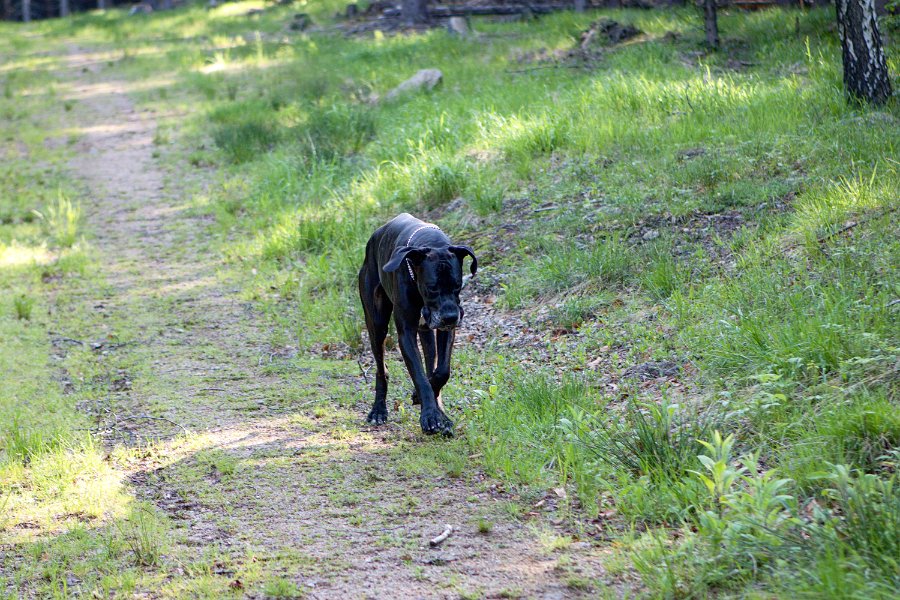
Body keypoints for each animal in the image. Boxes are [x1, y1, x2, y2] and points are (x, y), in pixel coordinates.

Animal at [358, 213, 478, 434]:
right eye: (432, 288)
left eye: (458, 285)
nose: (451, 317)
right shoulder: (406, 333)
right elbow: (420, 377)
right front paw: (430, 416)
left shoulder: (445, 330)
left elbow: (441, 372)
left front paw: (430, 407)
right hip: (376, 325)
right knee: (381, 368)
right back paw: (378, 410)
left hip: (427, 333)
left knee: (431, 363)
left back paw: (441, 413)